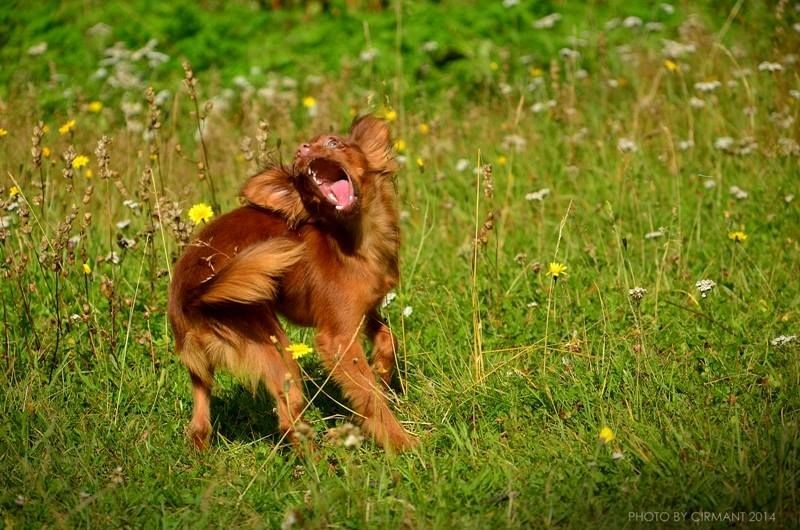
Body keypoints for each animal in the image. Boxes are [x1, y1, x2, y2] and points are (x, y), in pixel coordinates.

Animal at [168, 115, 416, 452]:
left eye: (334, 142)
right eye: (298, 161)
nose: (303, 149)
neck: (353, 239)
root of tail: (192, 293)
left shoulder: (364, 312)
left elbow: (387, 338)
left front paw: (381, 371)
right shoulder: (338, 339)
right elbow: (369, 397)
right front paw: (400, 444)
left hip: (203, 372)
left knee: (199, 425)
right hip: (273, 348)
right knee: (289, 418)